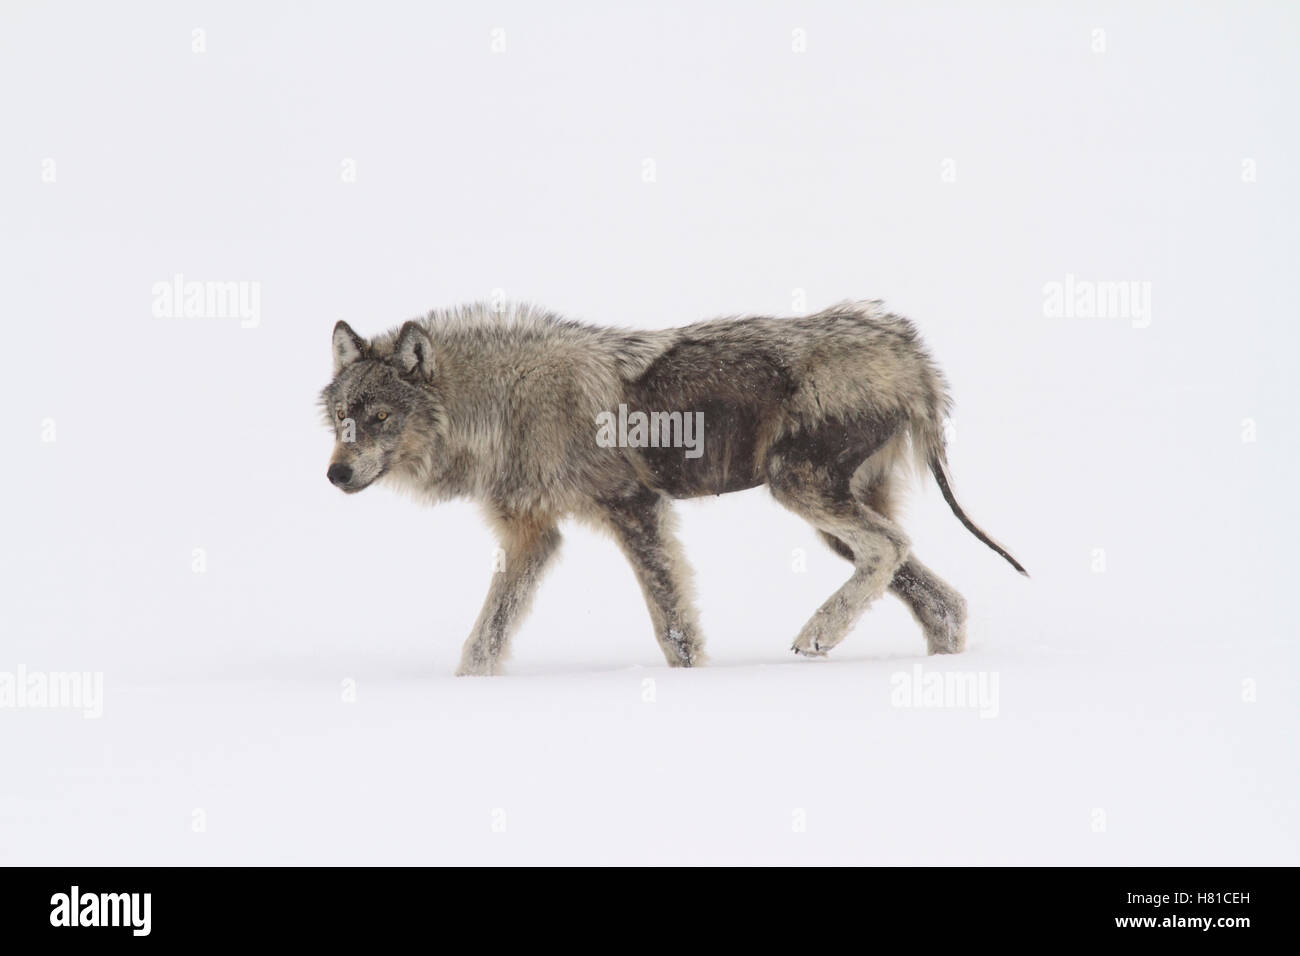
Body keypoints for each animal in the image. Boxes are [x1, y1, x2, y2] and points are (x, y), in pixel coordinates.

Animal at [319, 300, 1026, 676]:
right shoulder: (533, 537)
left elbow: (674, 627)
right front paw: (466, 685)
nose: (335, 474)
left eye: (380, 417)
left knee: (890, 549)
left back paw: (817, 634)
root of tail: (907, 347)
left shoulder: (633, 510)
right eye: (343, 417)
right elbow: (485, 636)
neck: (503, 405)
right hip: (829, 524)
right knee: (940, 597)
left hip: (797, 491)